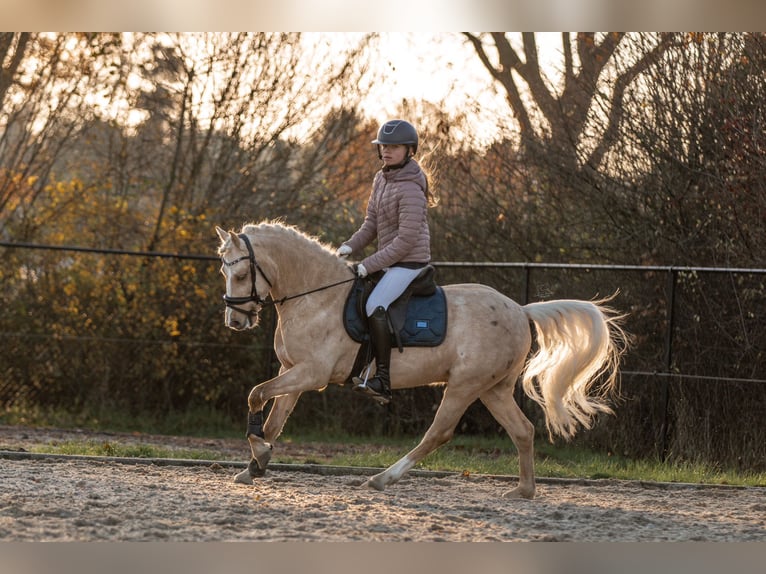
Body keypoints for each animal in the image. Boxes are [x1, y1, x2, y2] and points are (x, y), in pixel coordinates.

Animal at [216, 220, 632, 500]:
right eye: (224, 269)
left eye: (242, 273)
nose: (236, 321)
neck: (316, 296)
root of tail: (520, 309)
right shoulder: (293, 372)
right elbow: (273, 419)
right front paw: (256, 465)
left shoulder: (311, 374)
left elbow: (255, 395)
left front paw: (259, 456)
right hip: (493, 389)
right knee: (523, 431)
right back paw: (523, 491)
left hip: (465, 385)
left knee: (439, 433)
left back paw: (382, 479)